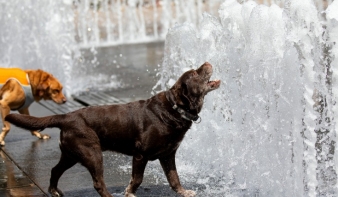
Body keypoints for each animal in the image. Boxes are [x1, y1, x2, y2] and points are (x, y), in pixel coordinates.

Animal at [5, 62, 222, 196]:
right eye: (194, 73)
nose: (206, 62)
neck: (175, 108)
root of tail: (66, 116)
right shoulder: (140, 155)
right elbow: (138, 178)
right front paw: (129, 193)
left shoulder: (168, 155)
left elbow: (174, 178)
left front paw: (184, 192)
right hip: (92, 153)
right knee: (97, 182)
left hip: (71, 154)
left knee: (54, 170)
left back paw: (54, 191)